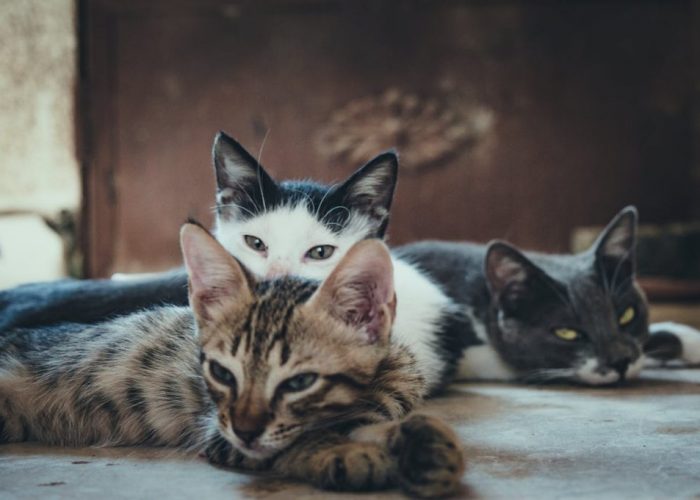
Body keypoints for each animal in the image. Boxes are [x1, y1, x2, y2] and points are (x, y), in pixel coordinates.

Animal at [0, 225, 464, 498]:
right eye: (221, 373)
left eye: (299, 382)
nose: (246, 429)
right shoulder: (220, 431)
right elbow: (296, 440)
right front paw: (346, 453)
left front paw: (421, 447)